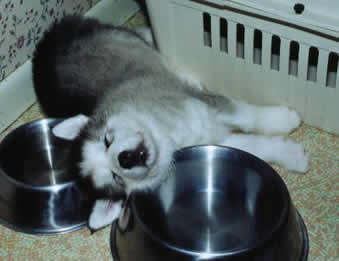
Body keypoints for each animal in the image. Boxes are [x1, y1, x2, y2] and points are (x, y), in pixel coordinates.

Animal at [33, 15, 310, 229]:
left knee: (143, 39)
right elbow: (256, 147)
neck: (166, 136)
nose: (125, 158)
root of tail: (44, 46)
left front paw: (282, 119)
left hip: (122, 38)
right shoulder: (215, 138)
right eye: (115, 178)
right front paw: (293, 155)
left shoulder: (204, 104)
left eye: (106, 141)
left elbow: (247, 115)